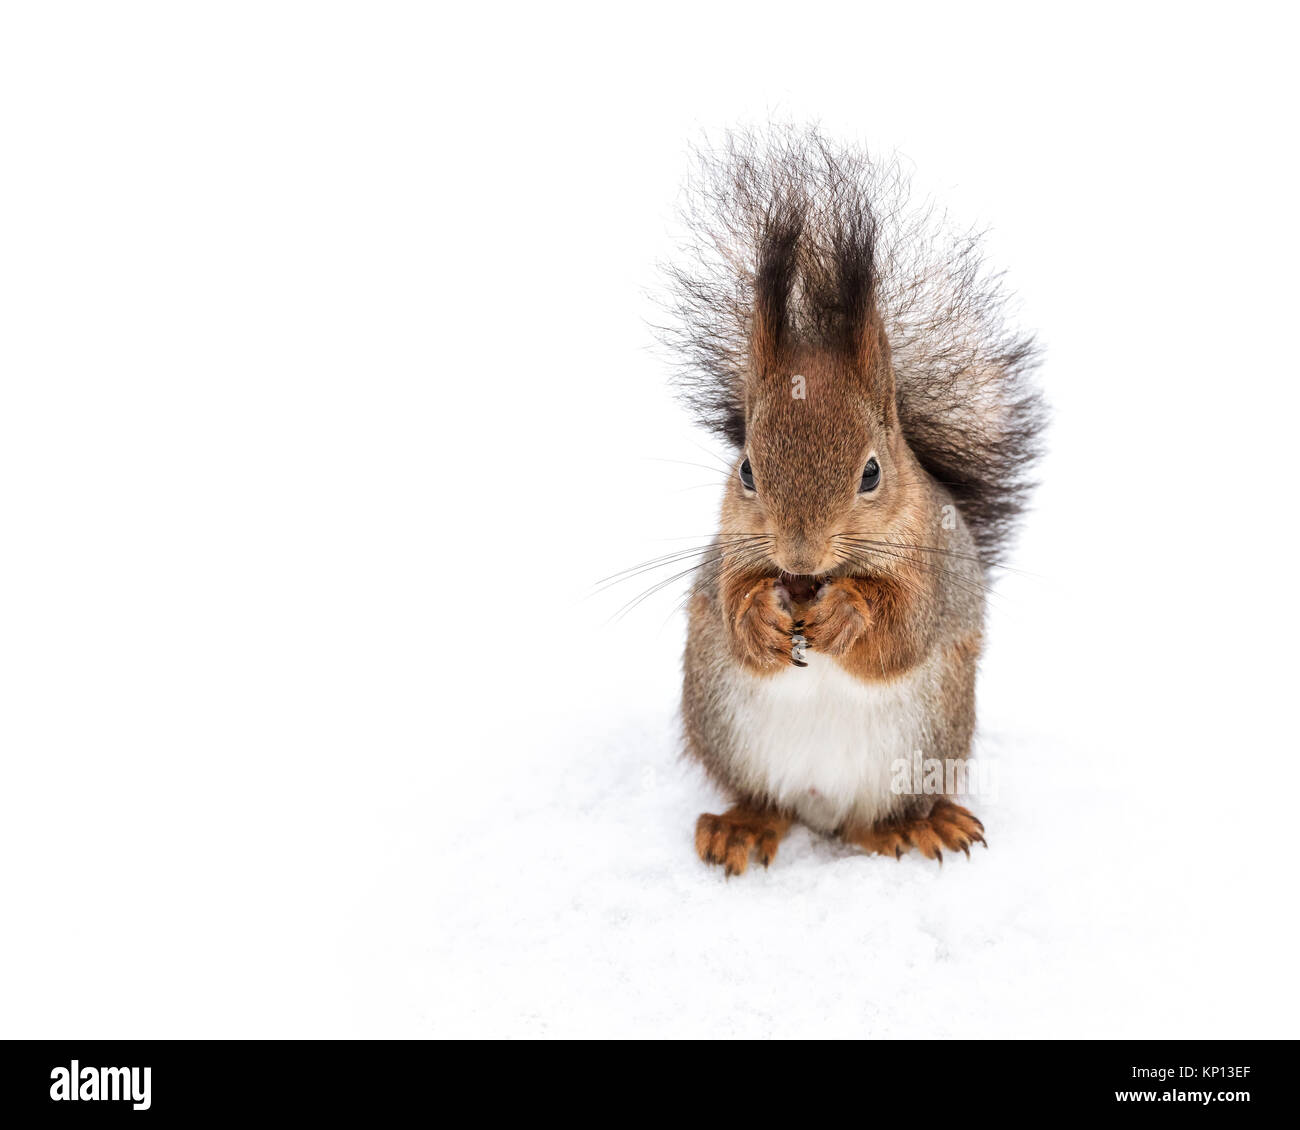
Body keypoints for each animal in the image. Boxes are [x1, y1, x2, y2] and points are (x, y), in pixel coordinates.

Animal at [660, 129, 1045, 875]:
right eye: (746, 469)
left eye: (872, 474)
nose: (801, 555)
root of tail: (822, 806)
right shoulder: (728, 554)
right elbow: (728, 600)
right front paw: (757, 617)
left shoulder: (936, 570)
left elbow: (901, 629)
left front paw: (849, 615)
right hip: (727, 728)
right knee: (767, 802)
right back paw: (742, 826)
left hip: (922, 744)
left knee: (875, 821)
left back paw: (917, 825)